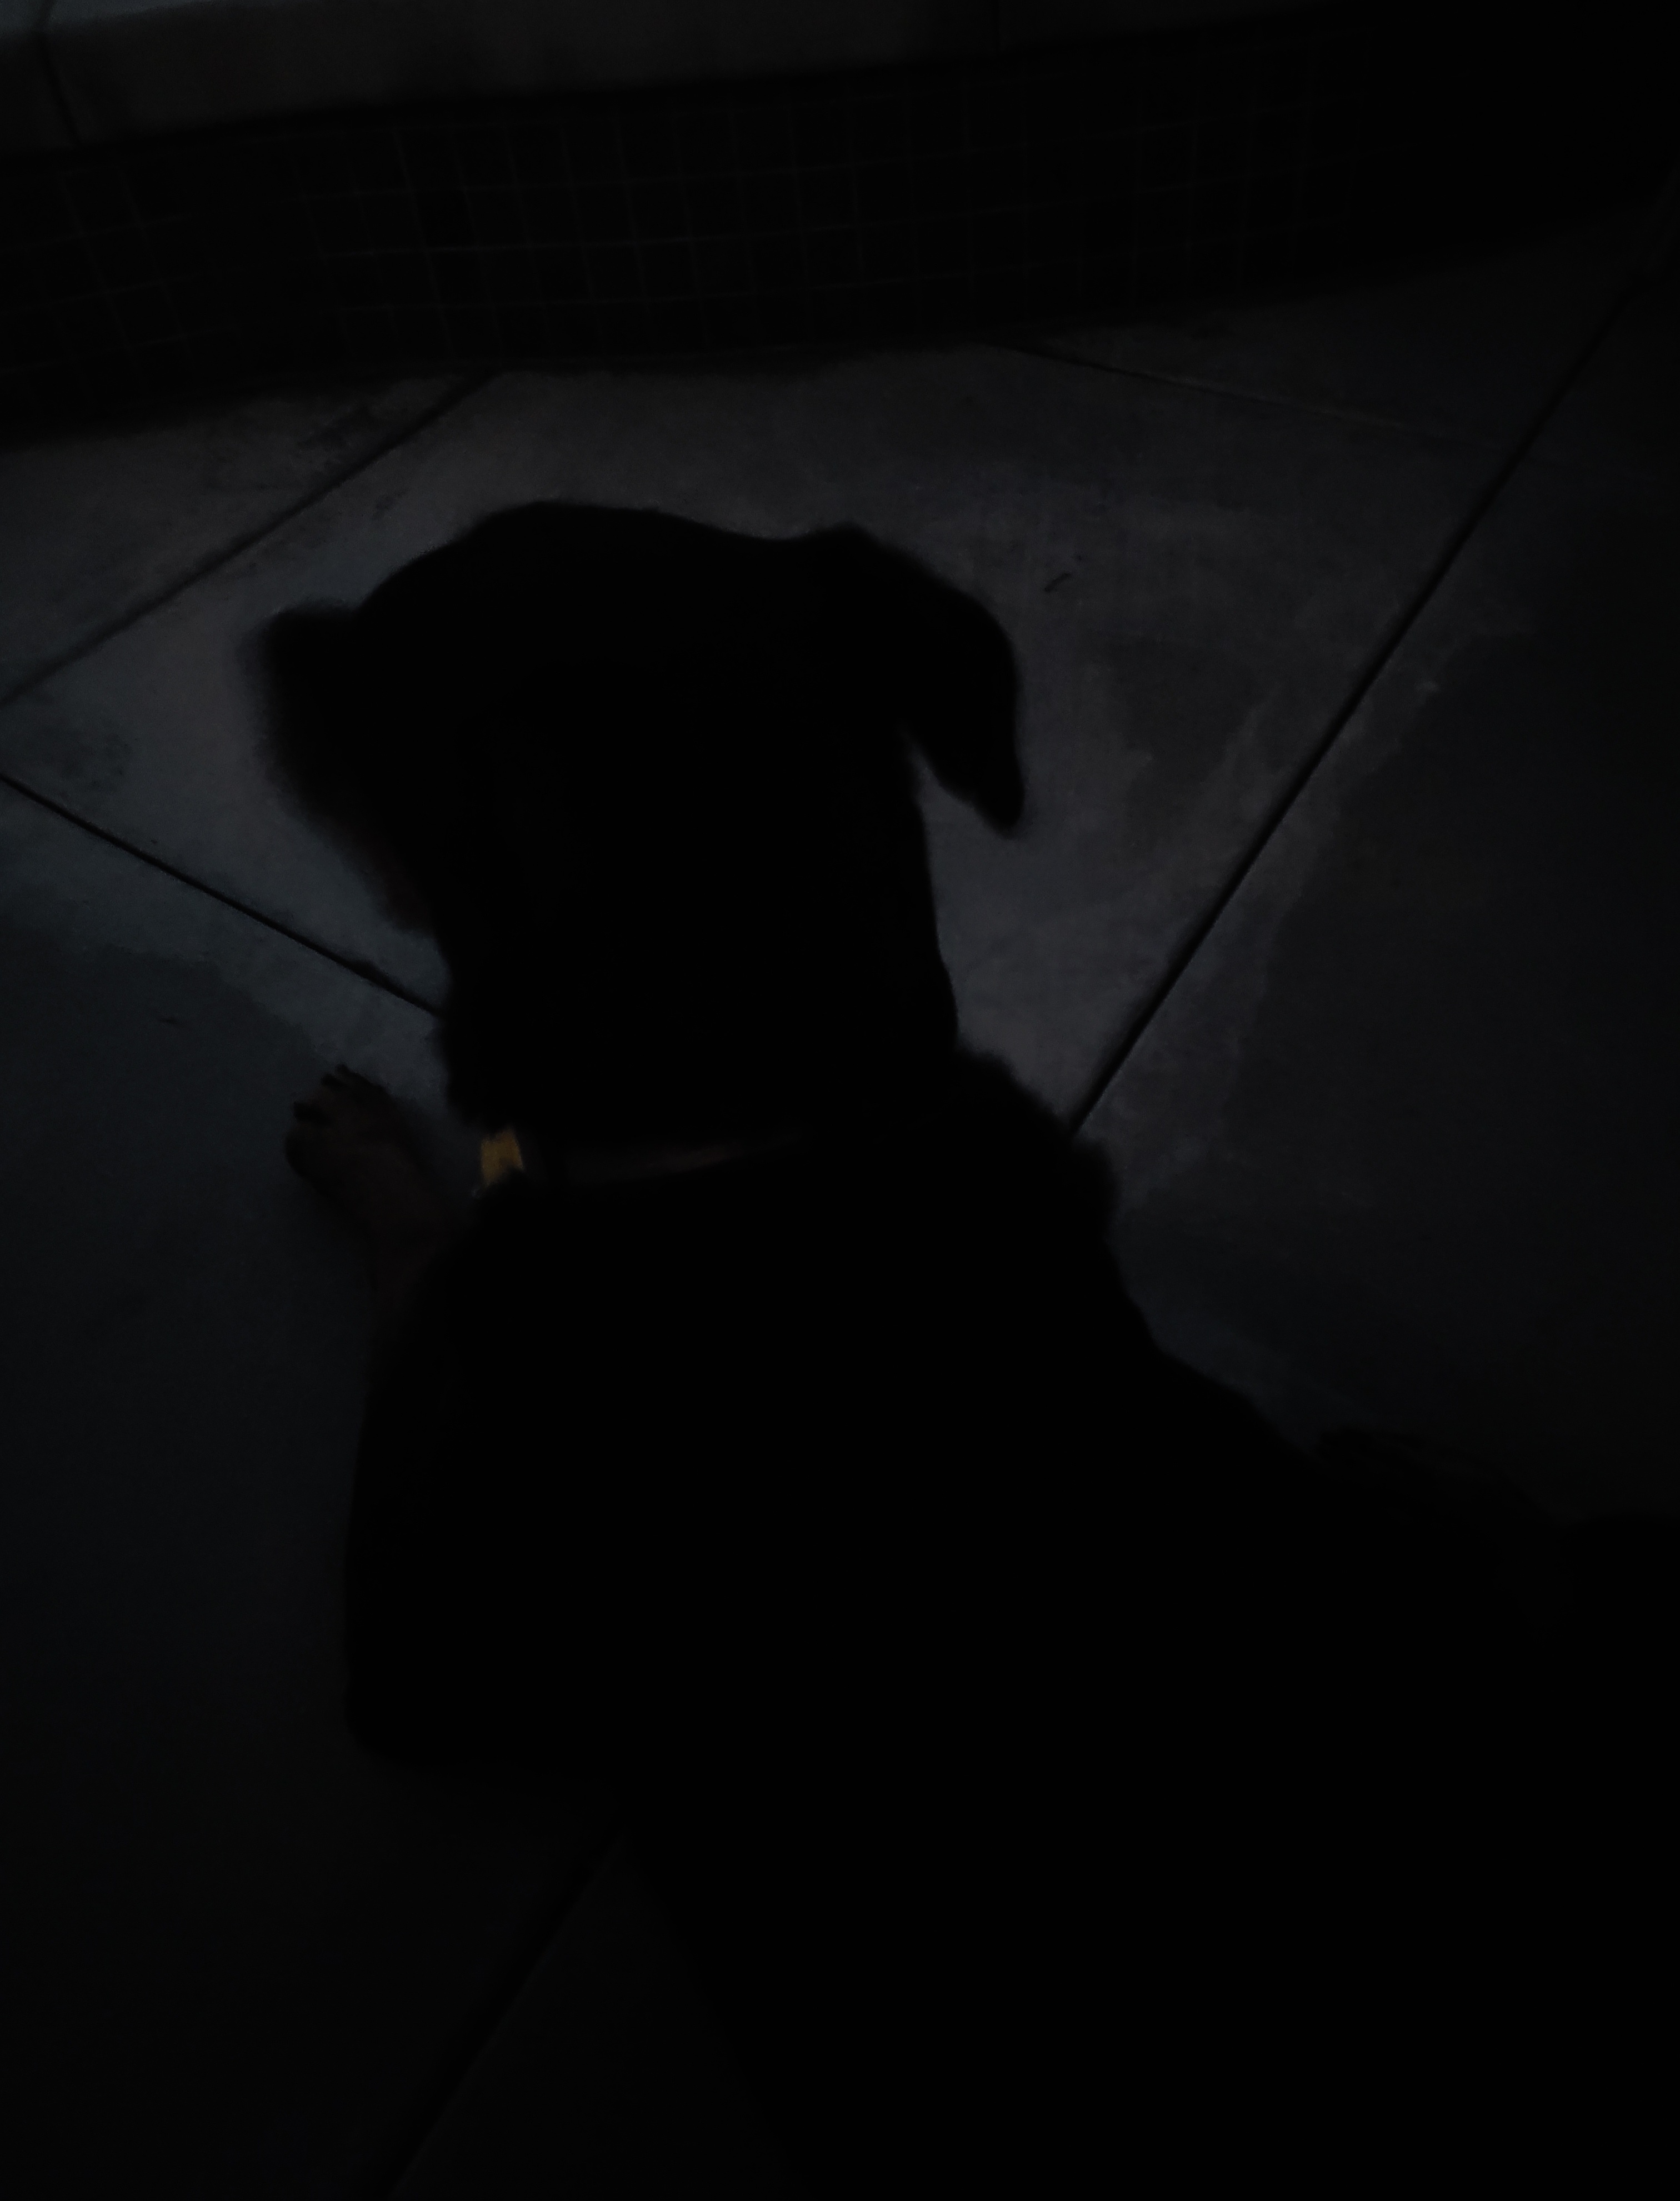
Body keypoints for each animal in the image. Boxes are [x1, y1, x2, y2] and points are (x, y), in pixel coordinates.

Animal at [259, 504, 1667, 2194]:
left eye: (364, 676)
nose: (268, 636)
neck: (780, 1124)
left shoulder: (416, 1647)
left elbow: (429, 1273)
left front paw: (370, 1154)